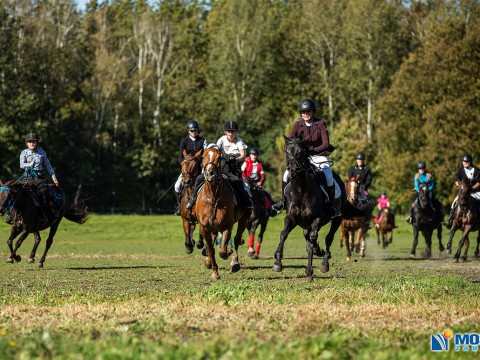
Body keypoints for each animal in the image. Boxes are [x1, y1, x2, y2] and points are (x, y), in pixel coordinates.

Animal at [192, 145, 249, 280]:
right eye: (203, 157)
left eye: (219, 158)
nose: (210, 174)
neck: (213, 197)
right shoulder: (204, 228)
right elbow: (211, 249)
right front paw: (214, 272)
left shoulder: (227, 226)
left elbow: (222, 251)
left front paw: (228, 253)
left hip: (243, 219)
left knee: (237, 239)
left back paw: (234, 262)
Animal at [272, 135, 374, 282]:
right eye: (286, 151)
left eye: (302, 151)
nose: (293, 171)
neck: (300, 190)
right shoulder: (291, 218)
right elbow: (283, 234)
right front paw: (278, 261)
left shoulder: (317, 218)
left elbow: (315, 237)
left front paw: (319, 252)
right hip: (307, 225)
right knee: (309, 242)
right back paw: (309, 271)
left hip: (337, 220)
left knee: (327, 238)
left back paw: (323, 262)